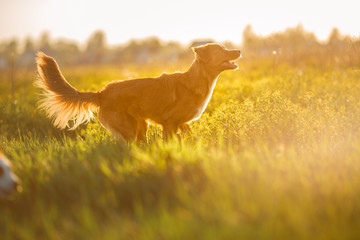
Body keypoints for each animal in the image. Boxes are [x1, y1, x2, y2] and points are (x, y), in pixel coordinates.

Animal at [35, 43, 240, 142]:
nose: (238, 50)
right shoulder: (170, 123)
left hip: (142, 125)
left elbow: (188, 135)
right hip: (131, 128)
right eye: (221, 49)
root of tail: (102, 92)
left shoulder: (182, 123)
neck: (196, 81)